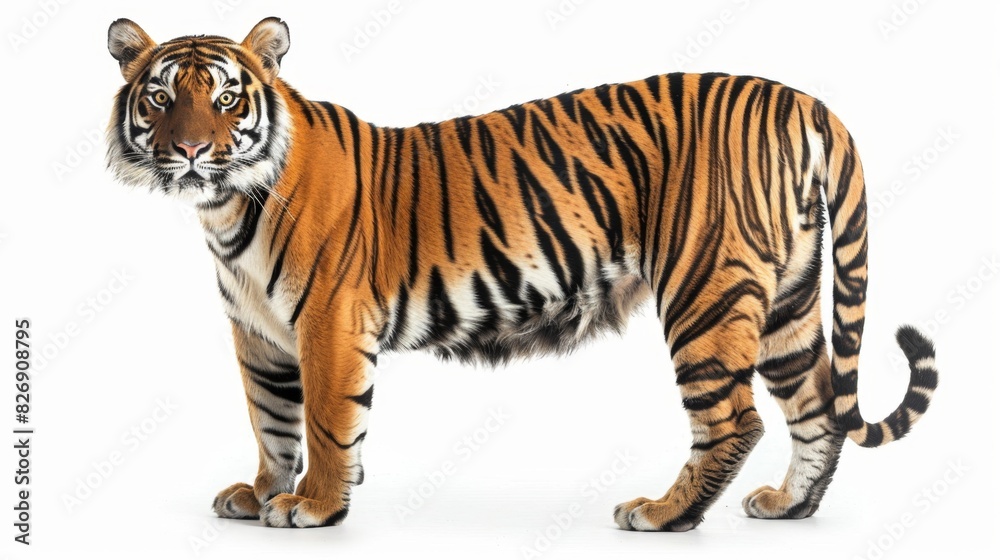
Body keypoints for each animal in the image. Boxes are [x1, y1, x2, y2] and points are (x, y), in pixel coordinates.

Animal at [105, 17, 939, 531]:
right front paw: (263, 494)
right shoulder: (258, 333)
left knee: (737, 419)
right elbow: (272, 421)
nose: (190, 151)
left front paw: (315, 506)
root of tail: (798, 97)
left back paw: (663, 515)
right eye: (161, 97)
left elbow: (326, 419)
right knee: (816, 404)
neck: (224, 207)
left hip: (706, 290)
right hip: (788, 296)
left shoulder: (327, 323)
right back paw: (788, 507)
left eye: (225, 98)